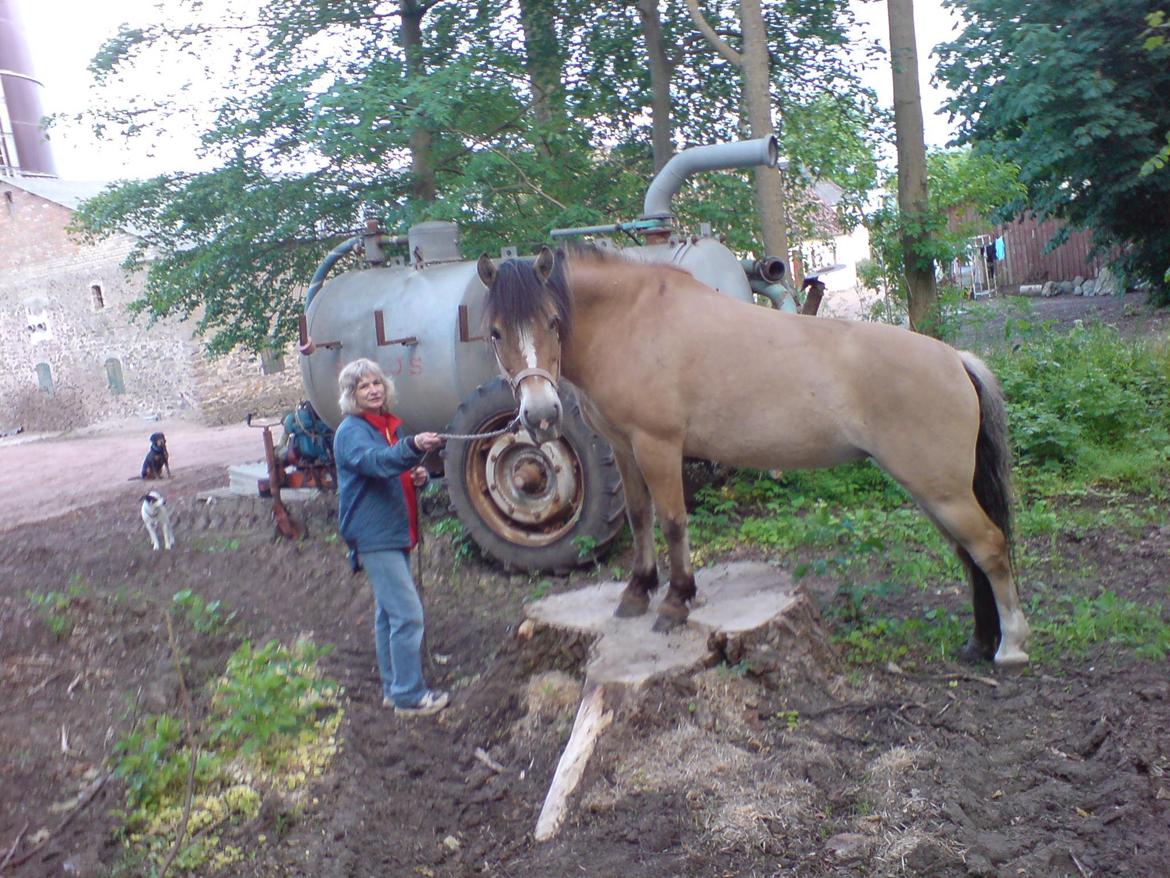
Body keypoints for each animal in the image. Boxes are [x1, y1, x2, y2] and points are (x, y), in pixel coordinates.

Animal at [475, 244, 1034, 664]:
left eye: (553, 321)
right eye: (495, 332)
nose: (540, 414)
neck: (631, 321)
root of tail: (955, 359)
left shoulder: (658, 446)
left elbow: (673, 521)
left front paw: (676, 601)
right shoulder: (624, 448)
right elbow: (639, 517)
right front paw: (638, 591)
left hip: (942, 491)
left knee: (989, 547)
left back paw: (1011, 647)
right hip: (932, 491)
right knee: (968, 554)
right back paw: (980, 642)